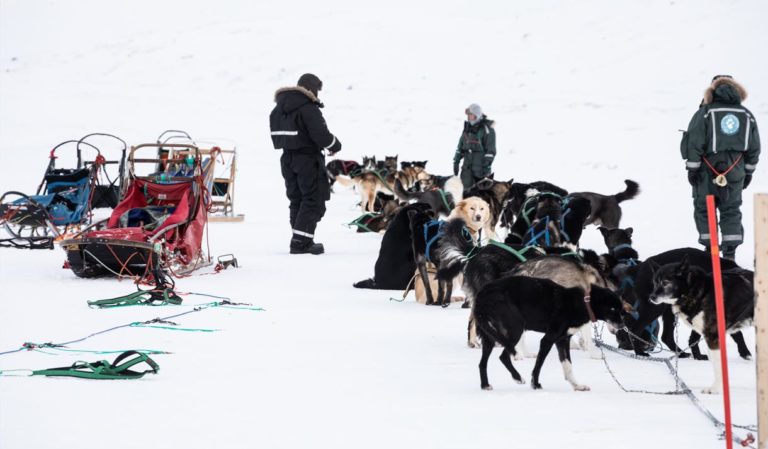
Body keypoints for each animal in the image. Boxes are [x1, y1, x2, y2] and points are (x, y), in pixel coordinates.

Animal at [472, 278, 628, 390]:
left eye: (621, 310)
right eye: (612, 309)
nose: (623, 325)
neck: (583, 303)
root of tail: (482, 295)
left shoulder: (562, 340)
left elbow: (568, 365)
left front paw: (577, 386)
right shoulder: (548, 339)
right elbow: (538, 365)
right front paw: (535, 385)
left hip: (490, 338)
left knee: (482, 364)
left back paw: (485, 385)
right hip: (516, 328)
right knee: (504, 356)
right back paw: (517, 377)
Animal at [652, 256, 752, 392]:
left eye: (665, 282)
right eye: (655, 282)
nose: (651, 297)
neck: (699, 293)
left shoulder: (712, 336)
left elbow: (718, 364)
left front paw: (715, 389)